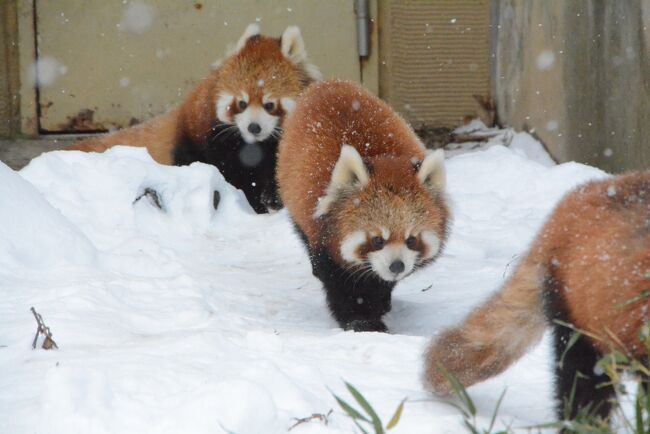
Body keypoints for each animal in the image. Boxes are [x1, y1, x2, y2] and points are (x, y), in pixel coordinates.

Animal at [67, 23, 320, 214]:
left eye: (269, 105)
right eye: (242, 103)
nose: (253, 127)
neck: (254, 146)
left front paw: (274, 201)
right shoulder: (207, 138)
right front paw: (253, 205)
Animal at [276, 80, 448, 332]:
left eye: (411, 240)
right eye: (377, 240)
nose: (397, 266)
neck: (384, 161)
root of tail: (326, 83)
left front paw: (380, 303)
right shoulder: (323, 234)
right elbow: (340, 283)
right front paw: (361, 321)